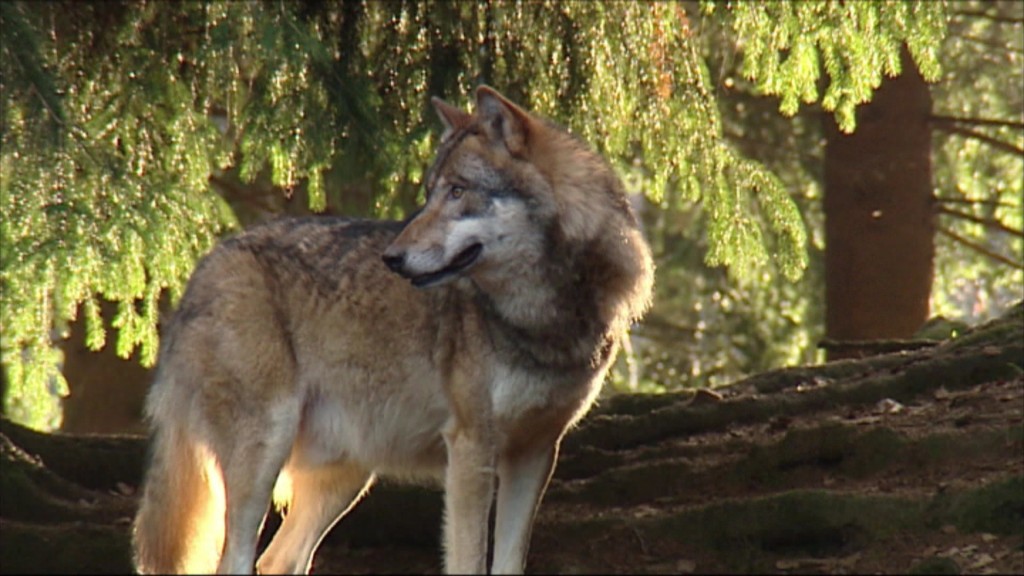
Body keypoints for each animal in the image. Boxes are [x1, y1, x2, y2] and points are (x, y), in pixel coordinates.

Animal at [131, 85, 654, 574]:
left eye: (457, 191)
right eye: (429, 193)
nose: (393, 258)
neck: (543, 317)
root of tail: (203, 268)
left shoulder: (536, 453)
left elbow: (508, 563)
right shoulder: (471, 448)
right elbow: (469, 561)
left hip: (348, 475)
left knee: (278, 559)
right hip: (263, 454)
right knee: (236, 559)